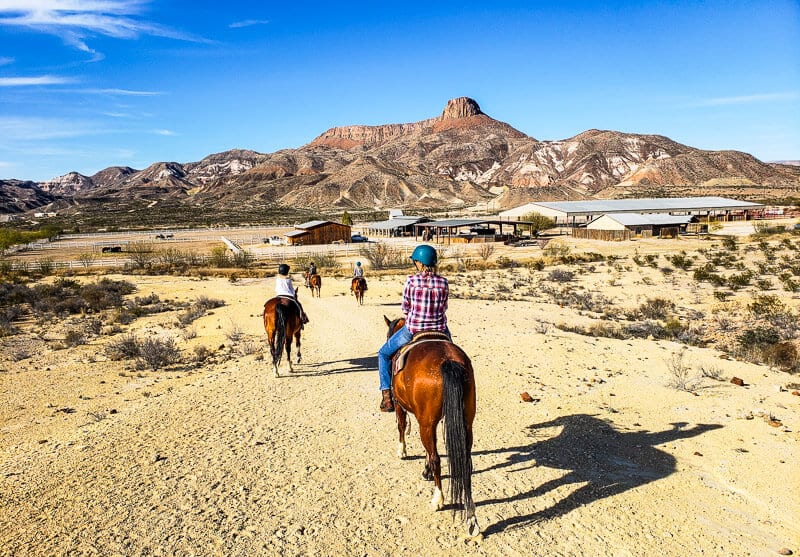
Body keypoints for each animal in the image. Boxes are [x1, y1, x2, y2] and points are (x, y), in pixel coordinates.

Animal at [384, 314, 478, 536]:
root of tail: (448, 361)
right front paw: (425, 470)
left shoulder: (401, 406)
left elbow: (402, 426)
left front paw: (402, 451)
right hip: (466, 422)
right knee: (465, 462)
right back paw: (472, 519)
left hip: (425, 423)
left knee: (436, 457)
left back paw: (438, 499)